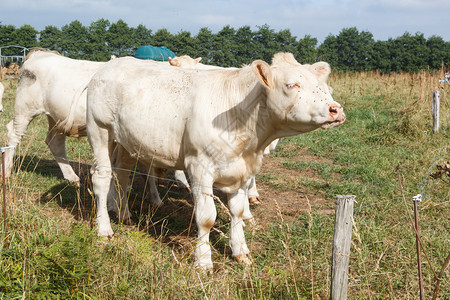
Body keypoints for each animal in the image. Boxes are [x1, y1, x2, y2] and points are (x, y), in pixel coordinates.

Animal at [77, 52, 344, 268]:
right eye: (292, 84)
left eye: (322, 86)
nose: (336, 109)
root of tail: (110, 65)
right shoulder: (199, 167)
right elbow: (206, 218)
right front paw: (203, 261)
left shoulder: (241, 170)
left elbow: (237, 212)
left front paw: (241, 252)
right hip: (100, 130)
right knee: (102, 179)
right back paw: (104, 229)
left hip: (126, 141)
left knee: (121, 175)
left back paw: (123, 214)